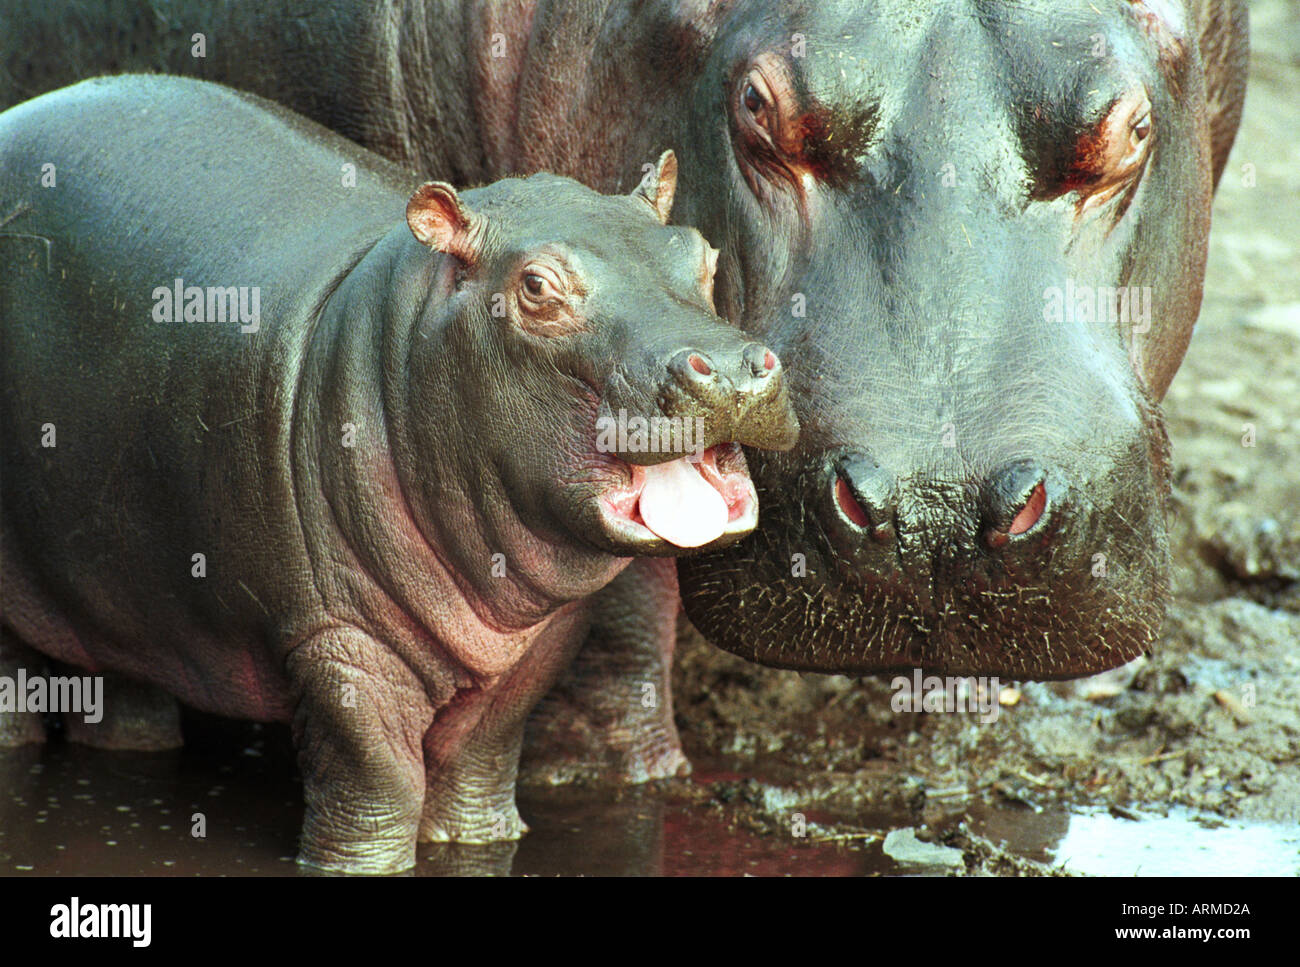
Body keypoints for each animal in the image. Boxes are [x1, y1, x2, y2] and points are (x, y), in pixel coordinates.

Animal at [0, 74, 798, 873]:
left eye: (699, 252)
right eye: (537, 286)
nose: (730, 366)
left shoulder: (543, 643)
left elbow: (483, 754)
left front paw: (478, 839)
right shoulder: (336, 640)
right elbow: (378, 776)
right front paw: (360, 860)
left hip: (118, 595)